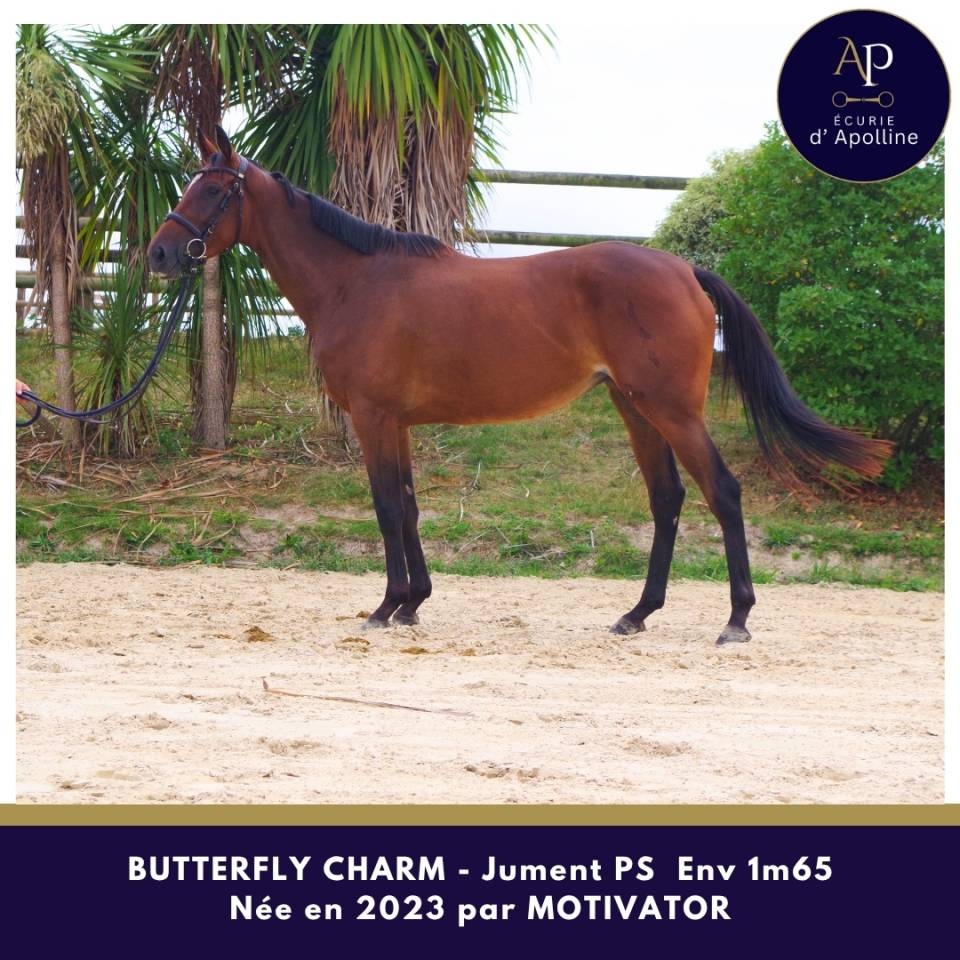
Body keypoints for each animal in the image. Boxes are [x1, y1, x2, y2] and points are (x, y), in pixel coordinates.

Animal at [148, 126, 891, 645]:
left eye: (210, 190)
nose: (157, 253)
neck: (358, 282)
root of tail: (683, 270)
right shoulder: (398, 424)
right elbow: (409, 507)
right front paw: (414, 603)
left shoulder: (374, 418)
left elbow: (386, 508)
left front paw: (386, 606)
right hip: (635, 407)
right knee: (668, 498)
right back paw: (636, 614)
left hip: (672, 410)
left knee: (723, 493)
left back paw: (735, 619)